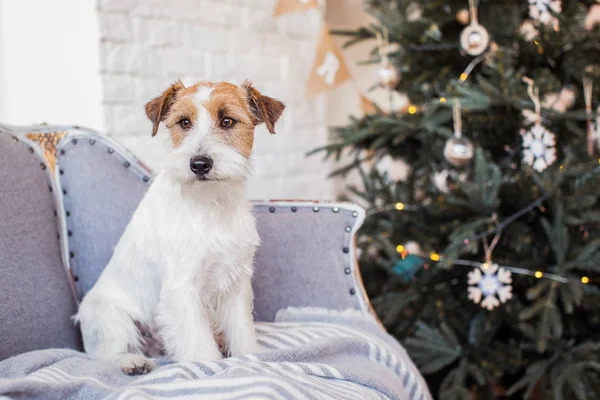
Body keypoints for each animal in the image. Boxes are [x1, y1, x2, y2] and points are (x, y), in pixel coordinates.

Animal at [75, 79, 286, 374]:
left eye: (227, 121)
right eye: (184, 122)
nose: (199, 164)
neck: (210, 203)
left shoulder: (236, 282)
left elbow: (242, 328)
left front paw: (249, 356)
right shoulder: (183, 286)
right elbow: (197, 341)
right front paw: (208, 367)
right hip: (109, 317)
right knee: (105, 354)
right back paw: (132, 361)